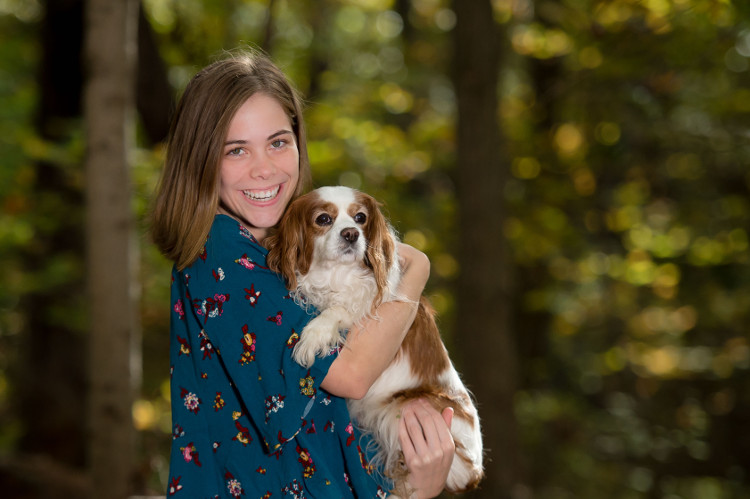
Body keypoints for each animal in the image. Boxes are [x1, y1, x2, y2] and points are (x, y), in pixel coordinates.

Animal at [268, 187, 484, 496]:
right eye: (323, 219)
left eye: (360, 218)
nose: (351, 234)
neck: (336, 273)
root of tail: (475, 471)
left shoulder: (370, 305)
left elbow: (342, 308)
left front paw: (314, 334)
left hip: (403, 408)